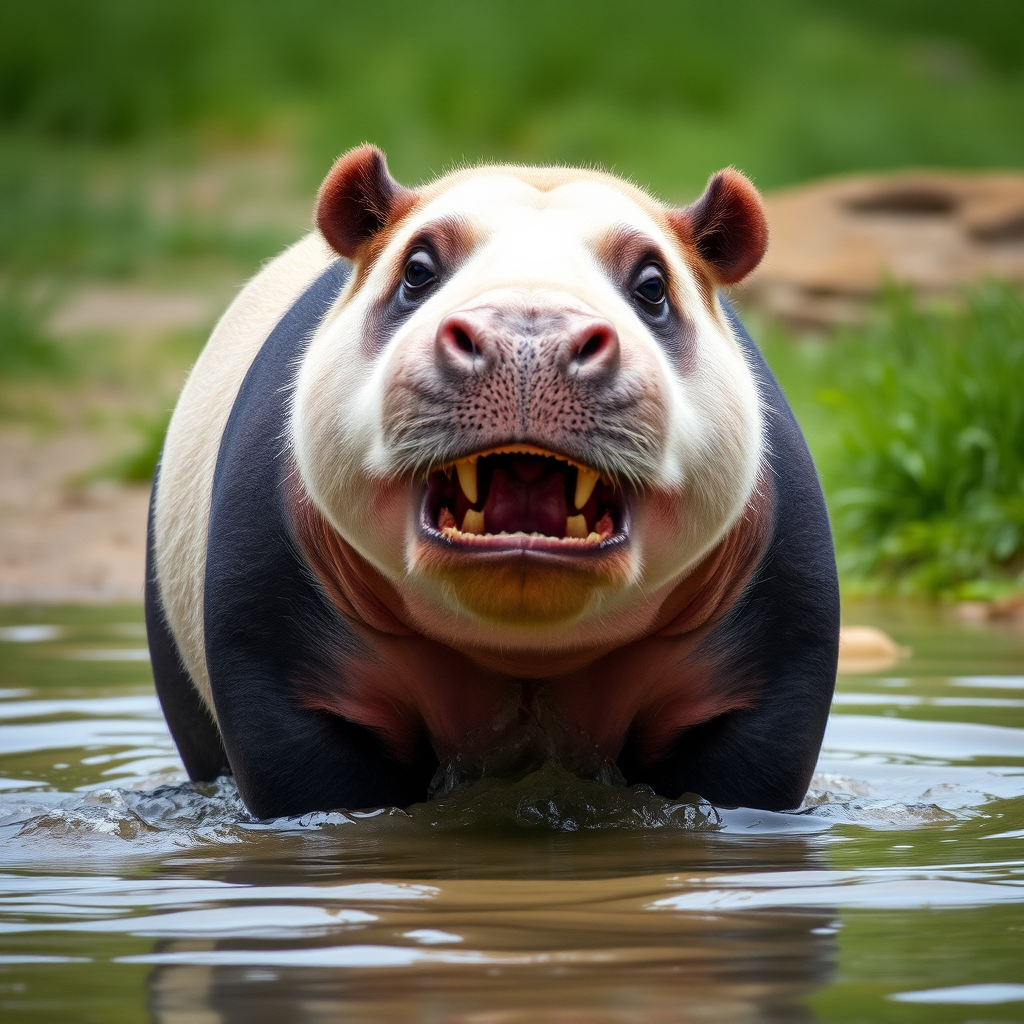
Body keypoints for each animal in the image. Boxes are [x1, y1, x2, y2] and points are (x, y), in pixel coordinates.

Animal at [145, 145, 839, 818]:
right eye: (418, 270)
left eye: (651, 286)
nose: (527, 337)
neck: (522, 644)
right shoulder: (278, 576)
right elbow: (301, 751)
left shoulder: (764, 585)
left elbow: (749, 747)